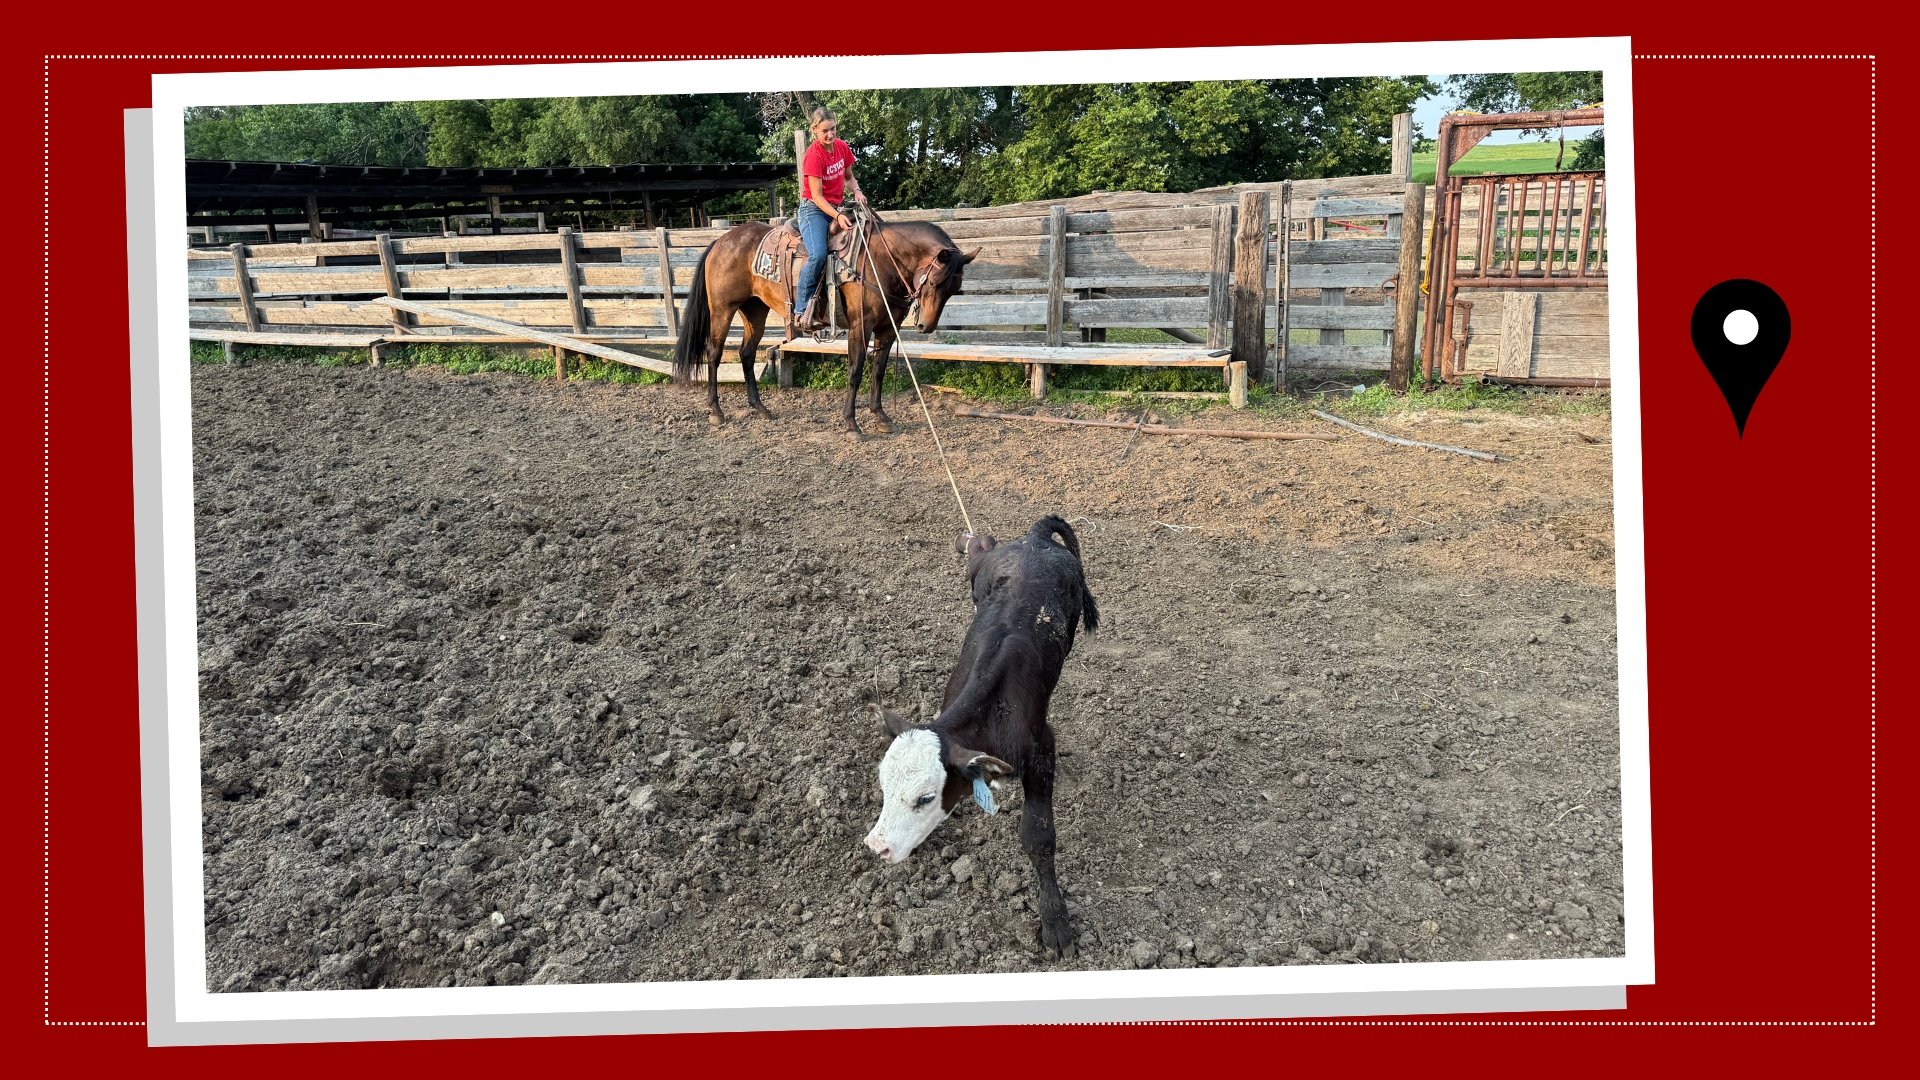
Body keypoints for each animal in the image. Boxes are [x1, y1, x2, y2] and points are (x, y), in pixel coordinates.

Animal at [672, 216, 975, 430]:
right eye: (934, 282)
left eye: (954, 289)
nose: (926, 326)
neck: (878, 261)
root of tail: (720, 242)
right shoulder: (860, 326)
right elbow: (855, 370)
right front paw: (851, 424)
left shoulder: (888, 329)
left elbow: (878, 370)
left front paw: (881, 416)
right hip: (723, 310)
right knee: (714, 354)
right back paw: (716, 411)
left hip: (754, 309)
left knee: (747, 354)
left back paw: (760, 407)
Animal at [867, 511, 1098, 949]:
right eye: (884, 786)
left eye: (925, 798)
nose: (877, 847)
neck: (991, 711)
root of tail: (1032, 540)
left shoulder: (1043, 747)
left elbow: (1038, 836)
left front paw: (1055, 921)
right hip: (979, 573)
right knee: (979, 547)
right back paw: (968, 538)